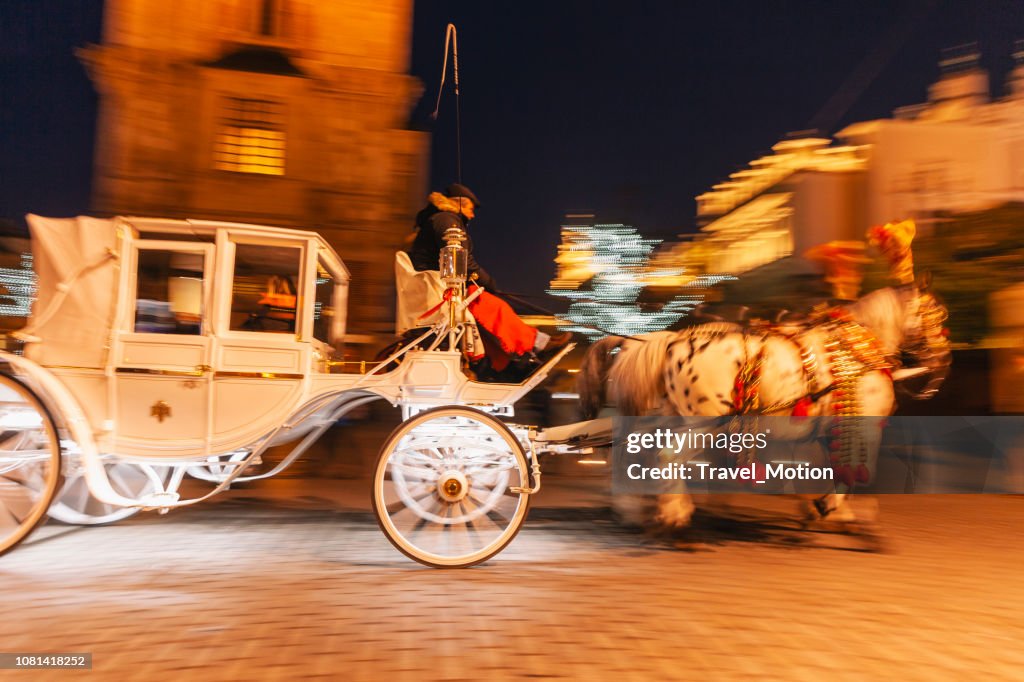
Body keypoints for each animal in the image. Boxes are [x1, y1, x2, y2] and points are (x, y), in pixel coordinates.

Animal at [581, 280, 946, 532]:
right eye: (940, 317)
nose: (941, 365)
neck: (858, 348)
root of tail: (672, 340)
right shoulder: (865, 427)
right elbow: (854, 470)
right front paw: (831, 508)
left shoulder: (825, 428)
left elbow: (827, 467)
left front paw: (824, 509)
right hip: (704, 423)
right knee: (666, 457)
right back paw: (674, 513)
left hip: (670, 417)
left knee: (633, 454)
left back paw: (635, 508)